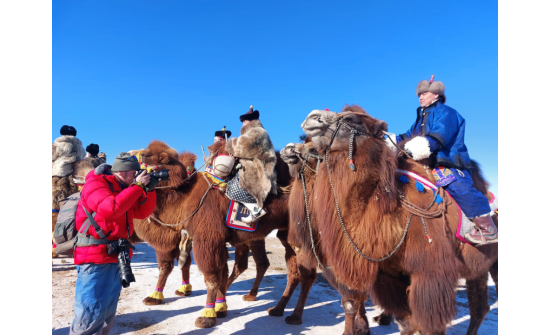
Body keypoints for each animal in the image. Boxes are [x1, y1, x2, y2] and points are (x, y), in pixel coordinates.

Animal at [132, 138, 296, 328]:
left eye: (147, 155)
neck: (185, 197)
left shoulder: (207, 239)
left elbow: (210, 276)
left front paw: (207, 315)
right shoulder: (211, 239)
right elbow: (219, 272)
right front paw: (220, 308)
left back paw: (287, 313)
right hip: (277, 236)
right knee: (285, 269)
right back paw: (276, 308)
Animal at [302, 107, 500, 335]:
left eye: (351, 119)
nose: (312, 116)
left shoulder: (431, 274)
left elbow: (429, 325)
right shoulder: (389, 276)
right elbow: (405, 321)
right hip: (479, 268)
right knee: (480, 307)